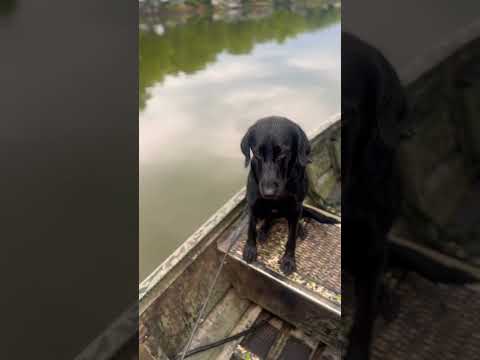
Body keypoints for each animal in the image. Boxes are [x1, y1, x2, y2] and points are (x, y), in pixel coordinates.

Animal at [240, 116, 338, 274]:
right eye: (257, 153)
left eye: (282, 154)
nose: (268, 192)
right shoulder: (253, 204)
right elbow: (251, 228)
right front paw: (250, 248)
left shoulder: (295, 208)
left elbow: (291, 239)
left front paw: (288, 260)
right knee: (269, 218)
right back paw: (263, 230)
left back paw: (300, 229)